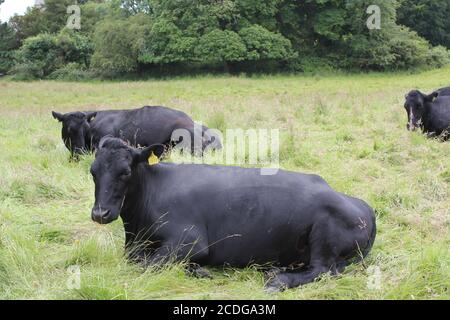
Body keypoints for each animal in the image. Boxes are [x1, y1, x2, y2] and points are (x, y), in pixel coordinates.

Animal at [88, 138, 376, 292]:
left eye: (125, 171)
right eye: (92, 171)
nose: (100, 213)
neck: (136, 227)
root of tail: (364, 208)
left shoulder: (189, 240)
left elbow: (148, 264)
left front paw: (197, 270)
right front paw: (196, 269)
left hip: (323, 235)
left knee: (323, 270)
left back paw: (277, 279)